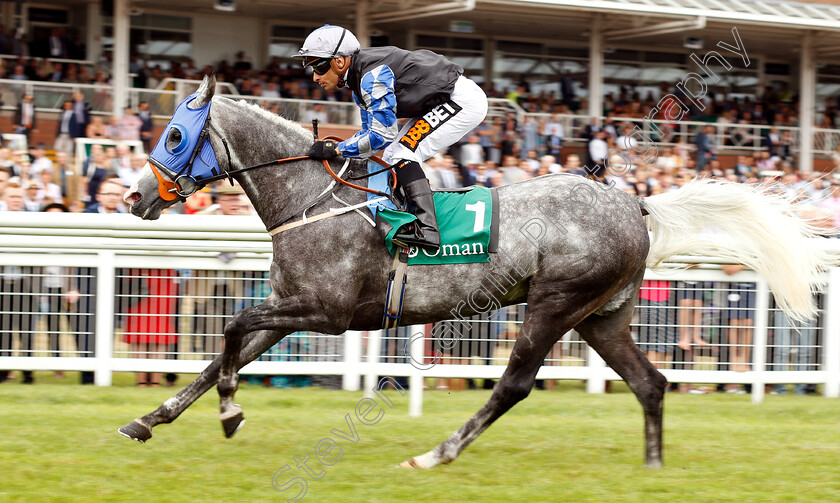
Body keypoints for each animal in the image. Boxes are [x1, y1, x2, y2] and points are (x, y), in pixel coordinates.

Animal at [120, 77, 832, 470]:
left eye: (177, 136)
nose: (133, 197)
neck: (314, 199)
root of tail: (636, 202)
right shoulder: (292, 306)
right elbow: (224, 351)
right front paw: (148, 419)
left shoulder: (326, 312)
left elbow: (232, 330)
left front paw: (231, 413)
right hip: (602, 316)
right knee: (650, 383)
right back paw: (654, 467)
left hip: (554, 303)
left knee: (513, 385)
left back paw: (436, 453)